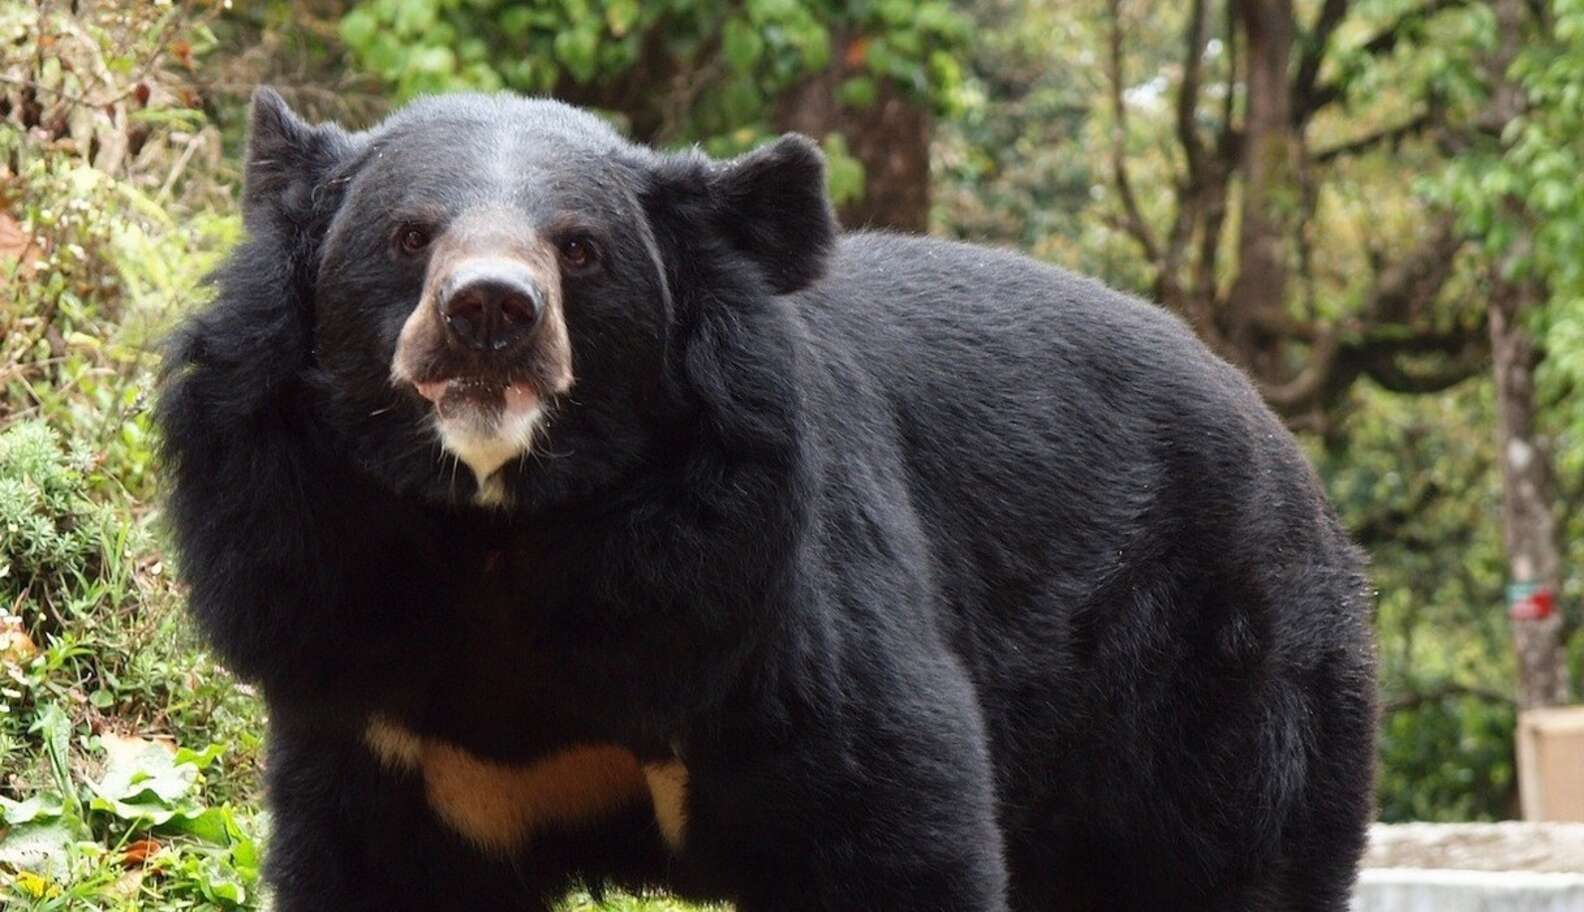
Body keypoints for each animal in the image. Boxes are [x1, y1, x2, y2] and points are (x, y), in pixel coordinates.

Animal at [154, 87, 1381, 912]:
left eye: (580, 251)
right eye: (409, 235)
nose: (490, 314)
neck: (504, 529)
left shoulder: (758, 599)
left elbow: (886, 825)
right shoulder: (353, 651)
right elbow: (379, 866)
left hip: (1214, 683)